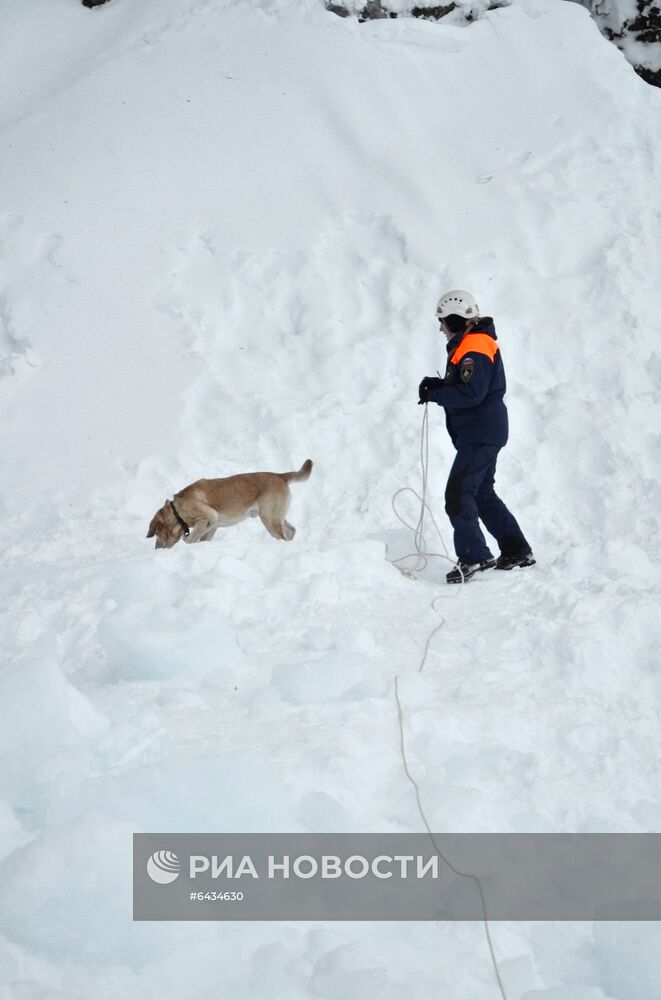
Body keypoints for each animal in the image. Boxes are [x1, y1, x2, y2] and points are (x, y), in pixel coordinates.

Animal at [147, 458, 312, 552]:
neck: (177, 512)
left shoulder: (209, 516)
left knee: (283, 536)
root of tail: (281, 476)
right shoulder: (211, 527)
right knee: (292, 530)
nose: (156, 549)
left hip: (269, 519)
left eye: (156, 534)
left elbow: (192, 538)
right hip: (277, 516)